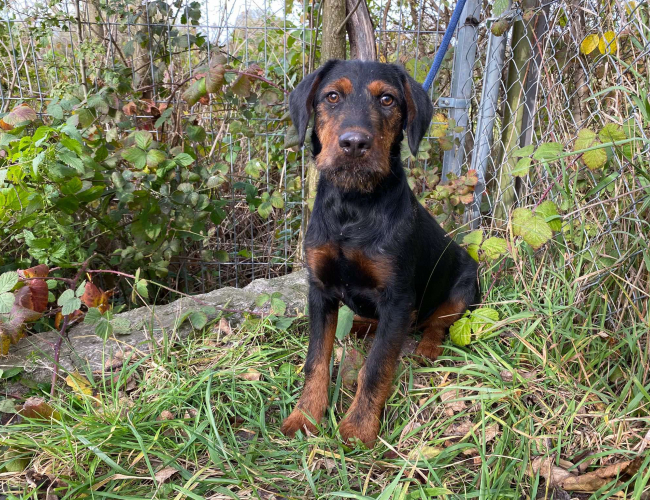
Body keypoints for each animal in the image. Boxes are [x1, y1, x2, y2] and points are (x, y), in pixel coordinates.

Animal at [280, 58, 478, 446]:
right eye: (332, 96)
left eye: (387, 99)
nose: (354, 143)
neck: (352, 205)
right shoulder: (319, 290)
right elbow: (316, 359)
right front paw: (305, 415)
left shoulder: (397, 298)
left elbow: (377, 366)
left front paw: (359, 428)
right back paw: (358, 326)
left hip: (464, 285)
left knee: (438, 322)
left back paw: (428, 346)